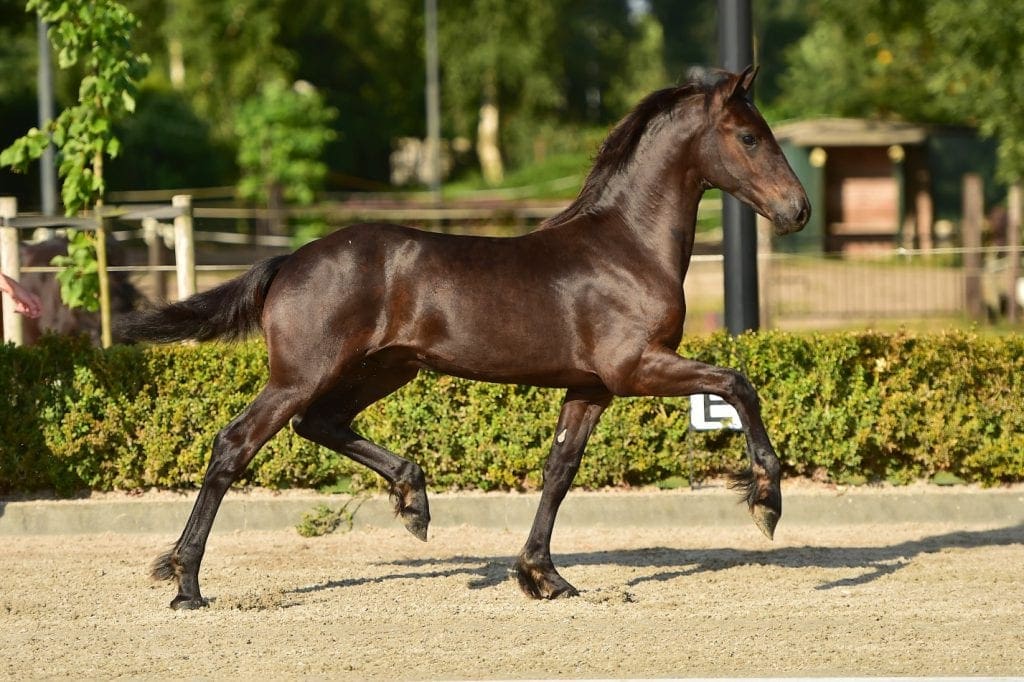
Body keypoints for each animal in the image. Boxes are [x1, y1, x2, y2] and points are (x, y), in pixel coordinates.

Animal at [117, 66, 810, 609]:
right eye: (750, 136)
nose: (797, 210)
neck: (627, 247)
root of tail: (289, 260)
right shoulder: (637, 367)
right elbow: (737, 384)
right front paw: (767, 502)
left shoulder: (591, 388)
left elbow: (559, 469)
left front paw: (542, 576)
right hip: (302, 374)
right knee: (236, 444)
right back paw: (186, 583)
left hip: (383, 368)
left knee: (322, 423)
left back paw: (414, 501)